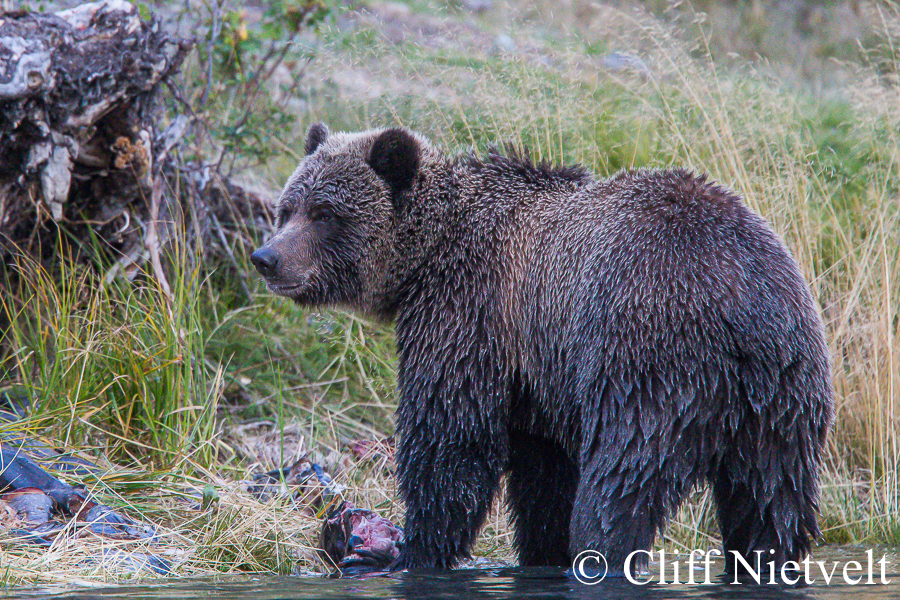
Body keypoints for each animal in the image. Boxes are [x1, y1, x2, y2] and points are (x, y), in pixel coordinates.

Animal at [250, 123, 832, 576]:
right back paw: (768, 561)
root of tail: (741, 307)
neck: (426, 260)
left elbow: (451, 440)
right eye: (289, 207)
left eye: (326, 213)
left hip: (647, 361)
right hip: (783, 400)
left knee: (620, 487)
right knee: (770, 503)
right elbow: (544, 476)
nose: (266, 258)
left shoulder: (472, 316)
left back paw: (603, 555)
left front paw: (412, 551)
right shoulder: (537, 374)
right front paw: (538, 551)